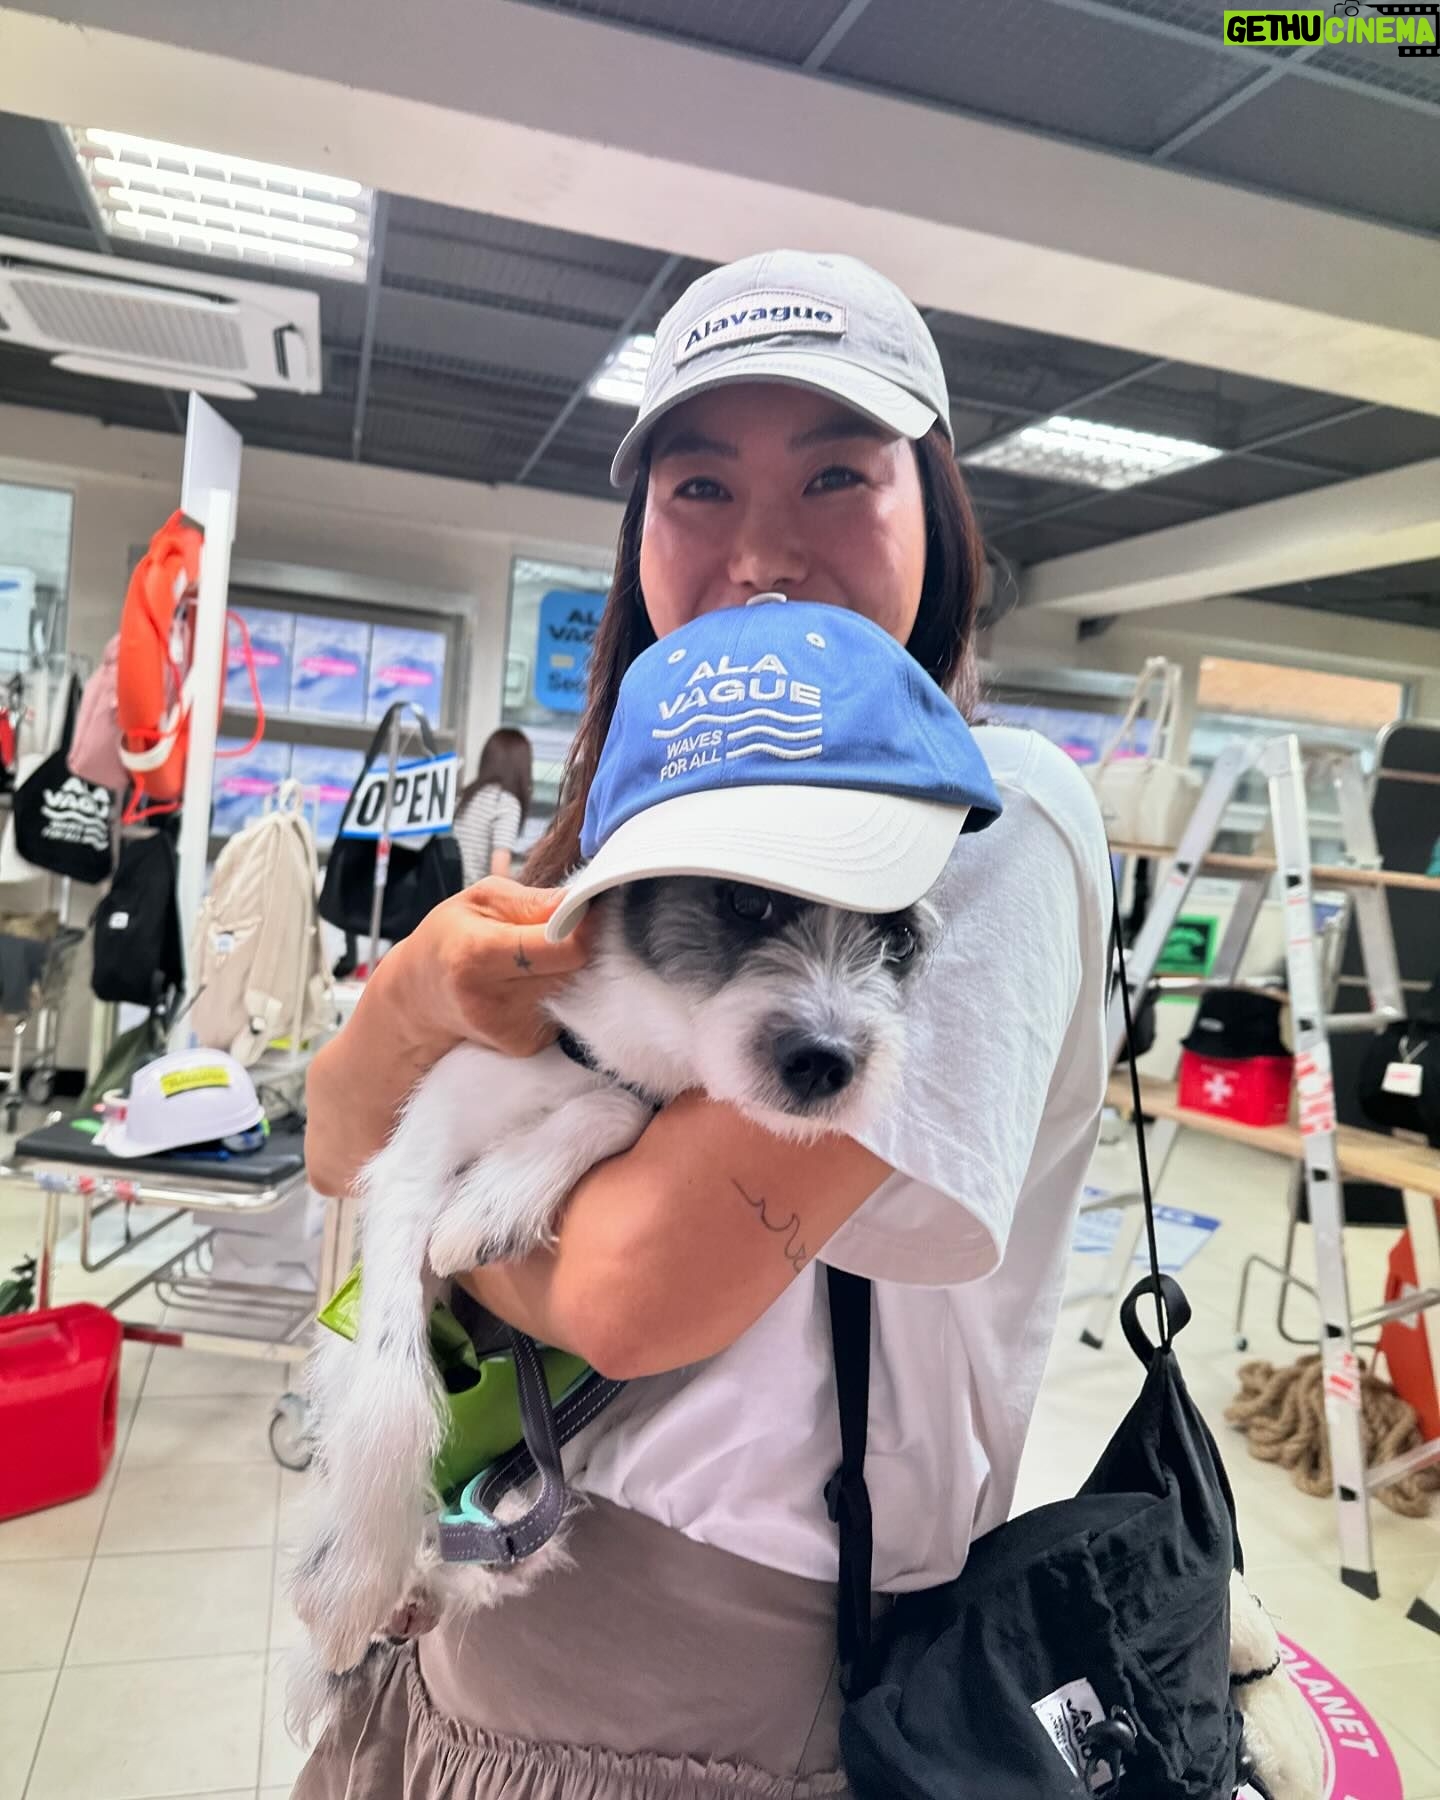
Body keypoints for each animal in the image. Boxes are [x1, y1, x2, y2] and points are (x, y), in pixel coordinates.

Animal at [289, 875, 937, 1731]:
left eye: (900, 940)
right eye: (744, 904)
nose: (828, 1063)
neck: (611, 1053)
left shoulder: (633, 1107)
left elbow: (620, 1113)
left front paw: (496, 1201)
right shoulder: (410, 1166)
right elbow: (393, 1396)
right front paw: (354, 1581)